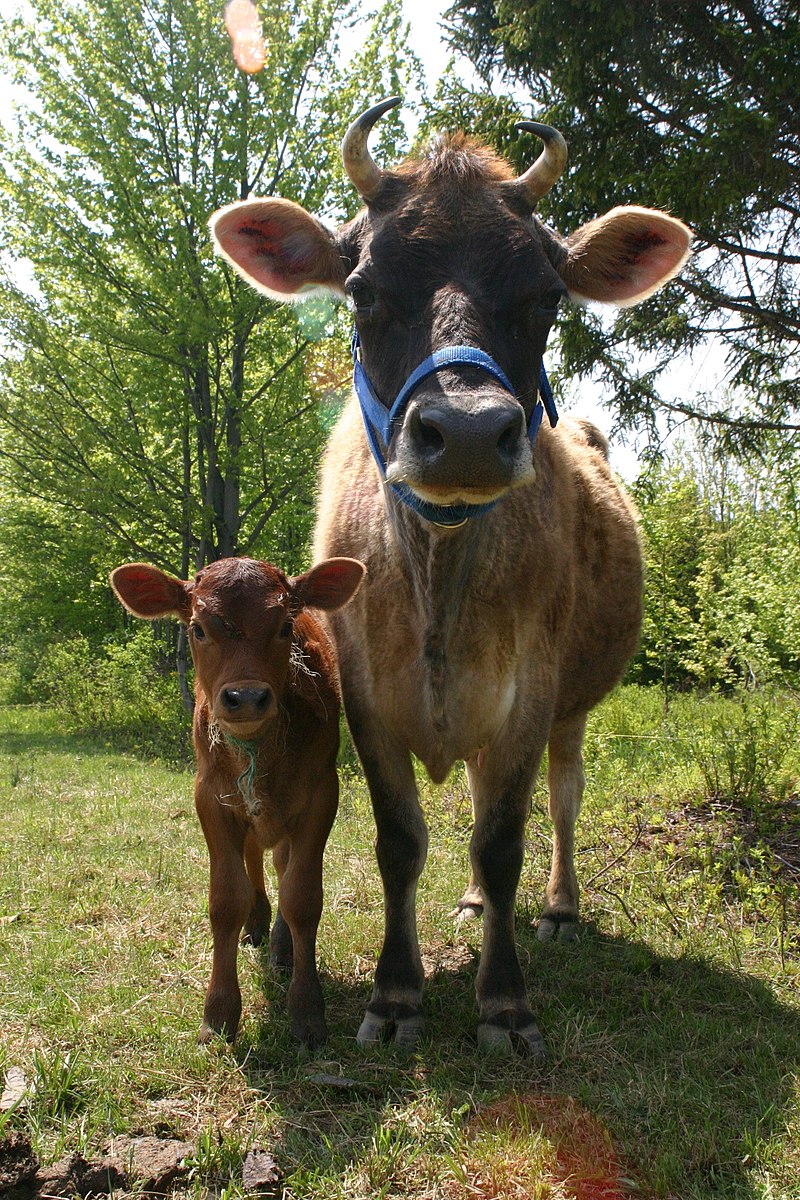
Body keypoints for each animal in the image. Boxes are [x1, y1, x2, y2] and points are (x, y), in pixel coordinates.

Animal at [110, 556, 367, 1046]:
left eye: (285, 625)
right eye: (198, 628)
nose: (246, 697)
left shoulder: (321, 795)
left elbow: (303, 897)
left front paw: (307, 1010)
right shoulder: (211, 799)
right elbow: (226, 899)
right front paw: (219, 1013)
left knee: (282, 865)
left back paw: (282, 947)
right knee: (255, 859)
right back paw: (258, 922)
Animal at [209, 96, 690, 1051]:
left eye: (546, 296)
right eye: (362, 289)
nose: (466, 432)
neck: (437, 580)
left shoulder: (530, 694)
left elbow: (503, 841)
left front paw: (504, 1001)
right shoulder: (367, 697)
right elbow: (402, 842)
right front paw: (396, 995)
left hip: (572, 709)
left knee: (564, 797)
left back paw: (559, 909)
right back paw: (467, 905)